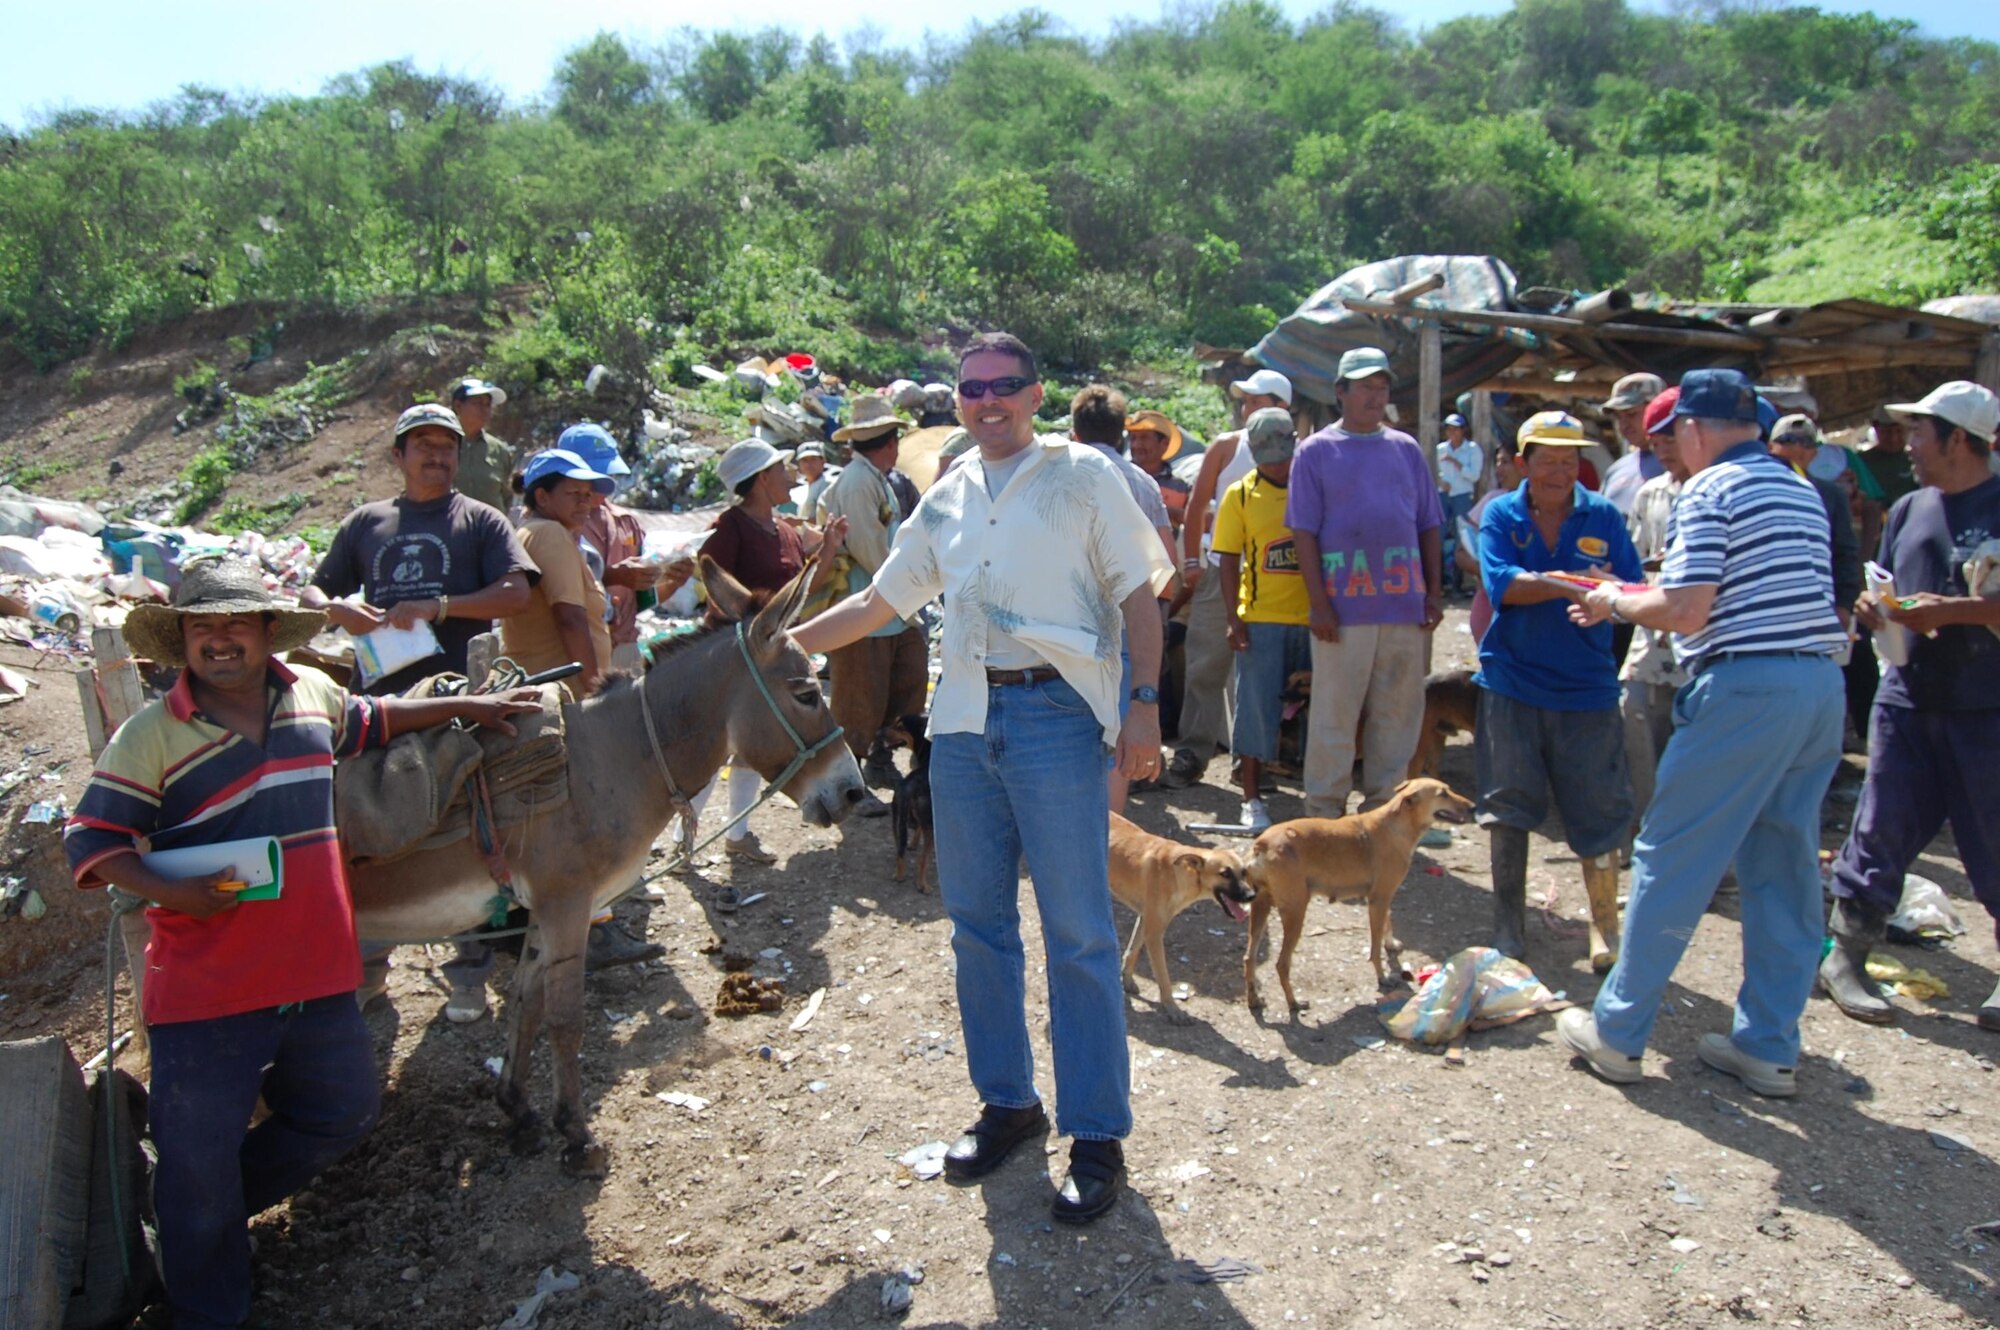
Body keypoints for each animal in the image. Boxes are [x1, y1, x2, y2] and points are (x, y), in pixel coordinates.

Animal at [888, 716, 932, 892]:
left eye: (900, 726)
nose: (880, 732)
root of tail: (908, 785)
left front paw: (913, 844)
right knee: (922, 860)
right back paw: (923, 885)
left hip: (896, 821)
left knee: (899, 851)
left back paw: (899, 875)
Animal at [1104, 816, 1256, 1020]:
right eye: (1225, 873)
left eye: (1244, 872)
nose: (1251, 896)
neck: (1176, 872)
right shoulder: (1154, 933)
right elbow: (1163, 976)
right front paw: (1173, 1009)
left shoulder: (1146, 919)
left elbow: (1132, 951)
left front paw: (1126, 980)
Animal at [1240, 772, 1480, 1012]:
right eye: (1443, 794)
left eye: (1448, 789)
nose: (1473, 807)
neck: (1396, 824)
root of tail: (1261, 844)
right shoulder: (1378, 900)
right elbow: (1375, 949)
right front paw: (1382, 977)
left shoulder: (1383, 897)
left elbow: (1388, 922)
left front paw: (1391, 944)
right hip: (1295, 912)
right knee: (1281, 964)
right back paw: (1294, 1003)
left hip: (1260, 908)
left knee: (1249, 958)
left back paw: (1254, 999)